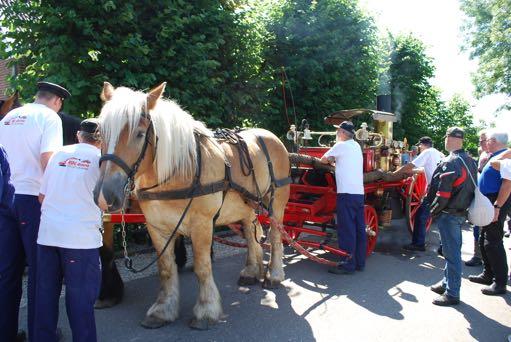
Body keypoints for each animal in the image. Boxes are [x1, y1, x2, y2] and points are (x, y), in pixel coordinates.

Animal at [93, 82, 290, 328]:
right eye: (100, 133)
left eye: (139, 134)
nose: (104, 195)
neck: (180, 170)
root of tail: (269, 135)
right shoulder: (156, 227)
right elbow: (166, 269)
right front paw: (163, 310)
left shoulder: (202, 224)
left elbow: (202, 267)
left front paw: (206, 310)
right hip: (247, 205)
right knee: (251, 230)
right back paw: (251, 271)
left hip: (276, 201)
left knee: (275, 235)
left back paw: (274, 275)